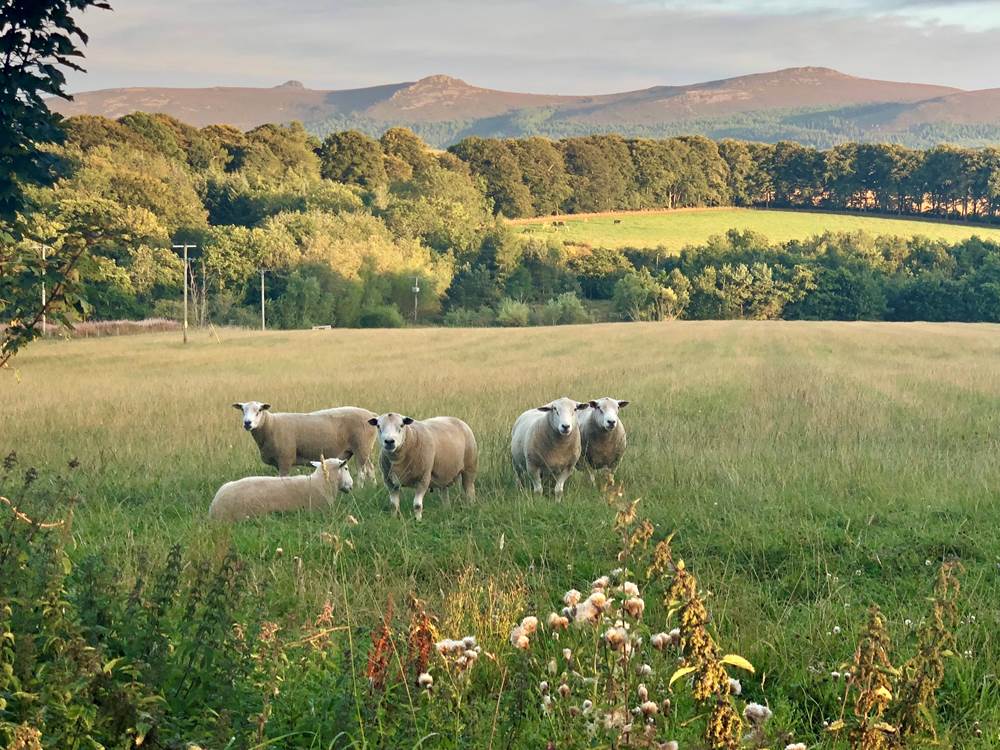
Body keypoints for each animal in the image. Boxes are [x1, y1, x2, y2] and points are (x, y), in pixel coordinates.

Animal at [232, 402, 376, 484]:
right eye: (243, 410)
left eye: (259, 411)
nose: (247, 423)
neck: (271, 424)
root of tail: (371, 414)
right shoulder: (279, 462)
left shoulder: (285, 459)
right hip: (364, 449)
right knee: (371, 469)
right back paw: (372, 487)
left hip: (361, 447)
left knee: (362, 473)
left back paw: (359, 490)